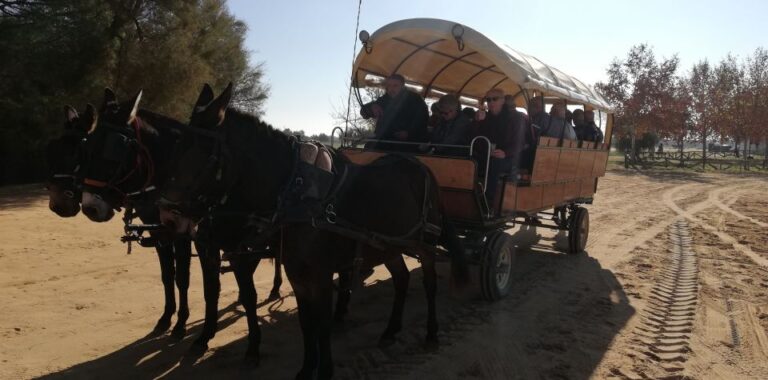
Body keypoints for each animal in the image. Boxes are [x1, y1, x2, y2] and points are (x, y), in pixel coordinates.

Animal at [73, 87, 284, 350]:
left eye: (114, 149)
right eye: (87, 146)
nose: (89, 207)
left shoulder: (194, 238)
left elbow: (188, 280)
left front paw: (184, 325)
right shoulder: (164, 234)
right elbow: (170, 277)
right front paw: (168, 319)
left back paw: (275, 287)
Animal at [158, 83, 468, 378]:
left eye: (202, 153)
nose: (167, 218)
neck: (296, 192)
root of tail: (420, 167)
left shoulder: (321, 274)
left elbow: (323, 324)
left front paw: (325, 370)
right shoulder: (296, 273)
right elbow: (307, 323)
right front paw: (307, 368)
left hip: (424, 245)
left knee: (429, 283)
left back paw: (431, 333)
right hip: (388, 245)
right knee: (401, 279)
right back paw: (391, 330)